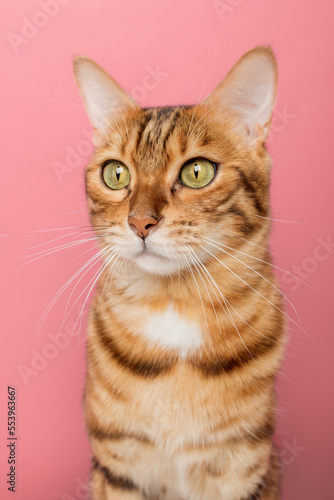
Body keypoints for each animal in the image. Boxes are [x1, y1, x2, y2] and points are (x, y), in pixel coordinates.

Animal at [72, 47, 284, 500]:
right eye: (115, 173)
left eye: (196, 172)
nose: (140, 222)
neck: (174, 304)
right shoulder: (119, 465)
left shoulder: (240, 463)